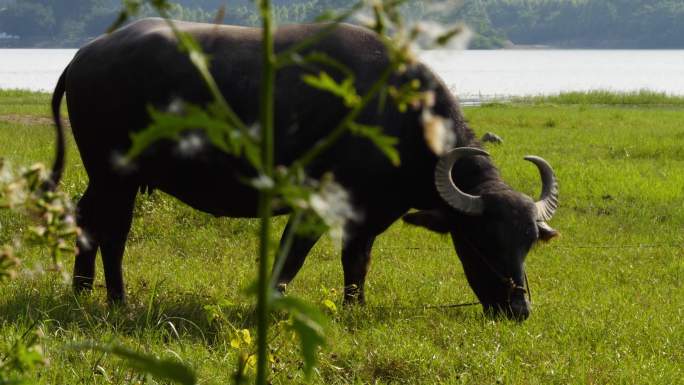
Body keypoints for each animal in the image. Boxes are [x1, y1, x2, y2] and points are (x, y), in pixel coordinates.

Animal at [50, 17, 560, 318]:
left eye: (528, 243)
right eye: (481, 240)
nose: (520, 310)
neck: (394, 116)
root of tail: (83, 55)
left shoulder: (367, 215)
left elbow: (357, 261)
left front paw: (355, 309)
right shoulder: (314, 205)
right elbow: (290, 259)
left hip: (110, 179)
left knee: (89, 220)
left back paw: (85, 292)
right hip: (114, 176)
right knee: (110, 230)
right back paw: (115, 300)